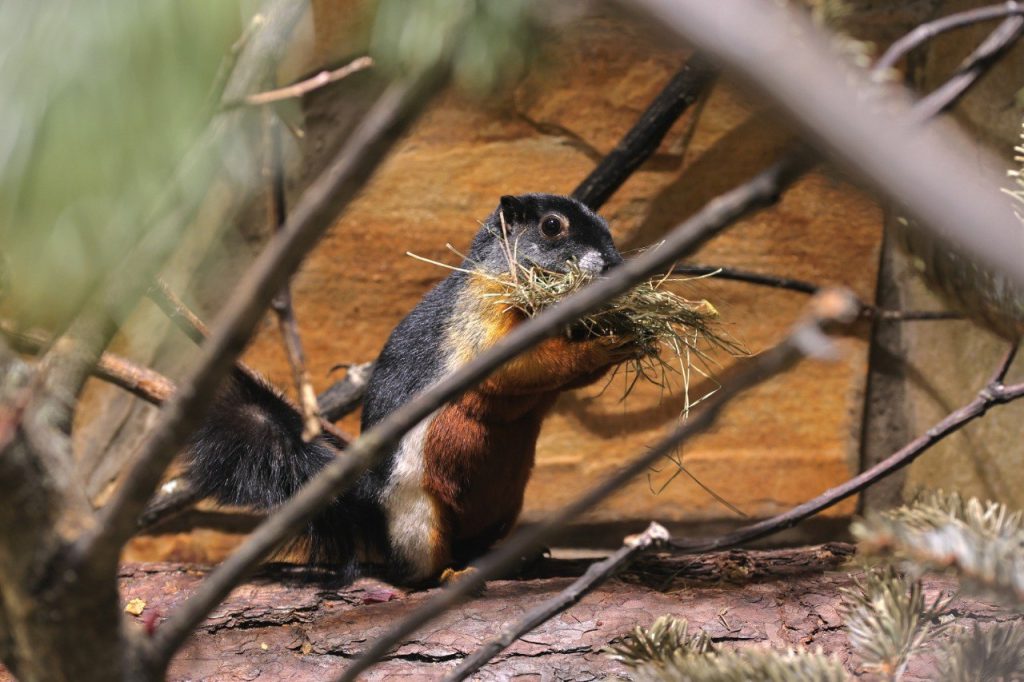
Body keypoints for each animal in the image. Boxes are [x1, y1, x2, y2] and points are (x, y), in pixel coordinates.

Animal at [183, 192, 630, 585]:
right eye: (552, 226)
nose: (613, 264)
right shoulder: (481, 322)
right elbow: (519, 368)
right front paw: (601, 345)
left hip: (504, 508)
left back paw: (517, 557)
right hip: (420, 519)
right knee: (416, 572)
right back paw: (451, 576)